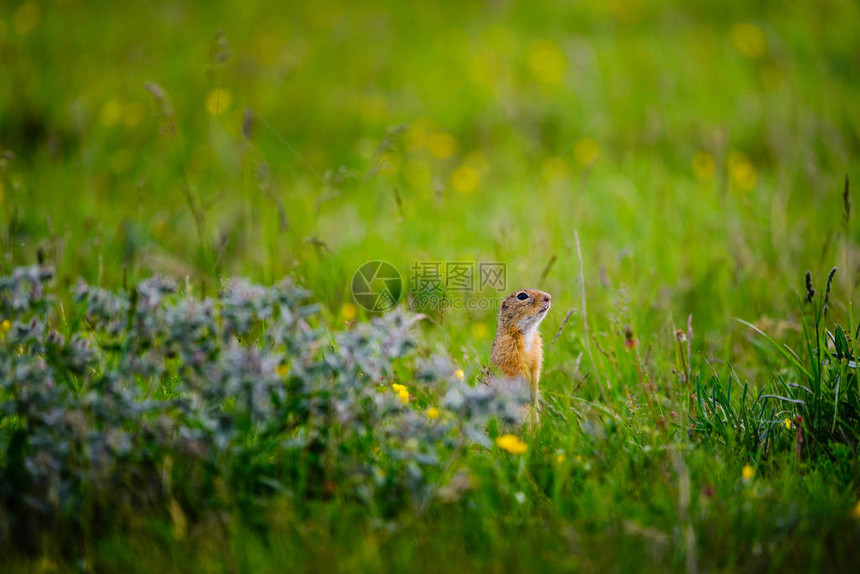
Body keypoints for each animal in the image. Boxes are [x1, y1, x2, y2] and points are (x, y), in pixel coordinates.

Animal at [490, 290, 552, 420]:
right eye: (522, 296)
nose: (548, 297)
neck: (526, 332)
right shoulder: (509, 349)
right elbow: (518, 372)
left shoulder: (536, 350)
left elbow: (535, 371)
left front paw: (534, 394)